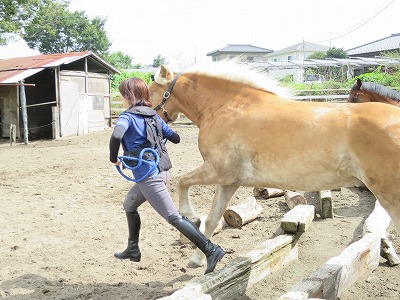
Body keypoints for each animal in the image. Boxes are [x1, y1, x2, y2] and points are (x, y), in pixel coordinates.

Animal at [149, 62, 400, 268]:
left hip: (389, 195)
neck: (227, 107)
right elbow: (212, 220)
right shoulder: (228, 181)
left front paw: (191, 217)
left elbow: (182, 183)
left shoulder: (216, 171)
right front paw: (198, 259)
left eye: (151, 92)